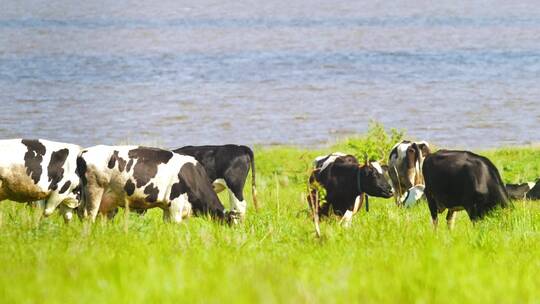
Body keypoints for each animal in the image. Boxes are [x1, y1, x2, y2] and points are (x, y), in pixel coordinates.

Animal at [77, 145, 235, 223]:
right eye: (231, 225)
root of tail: (84, 151)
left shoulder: (167, 208)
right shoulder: (176, 206)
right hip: (94, 191)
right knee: (89, 217)